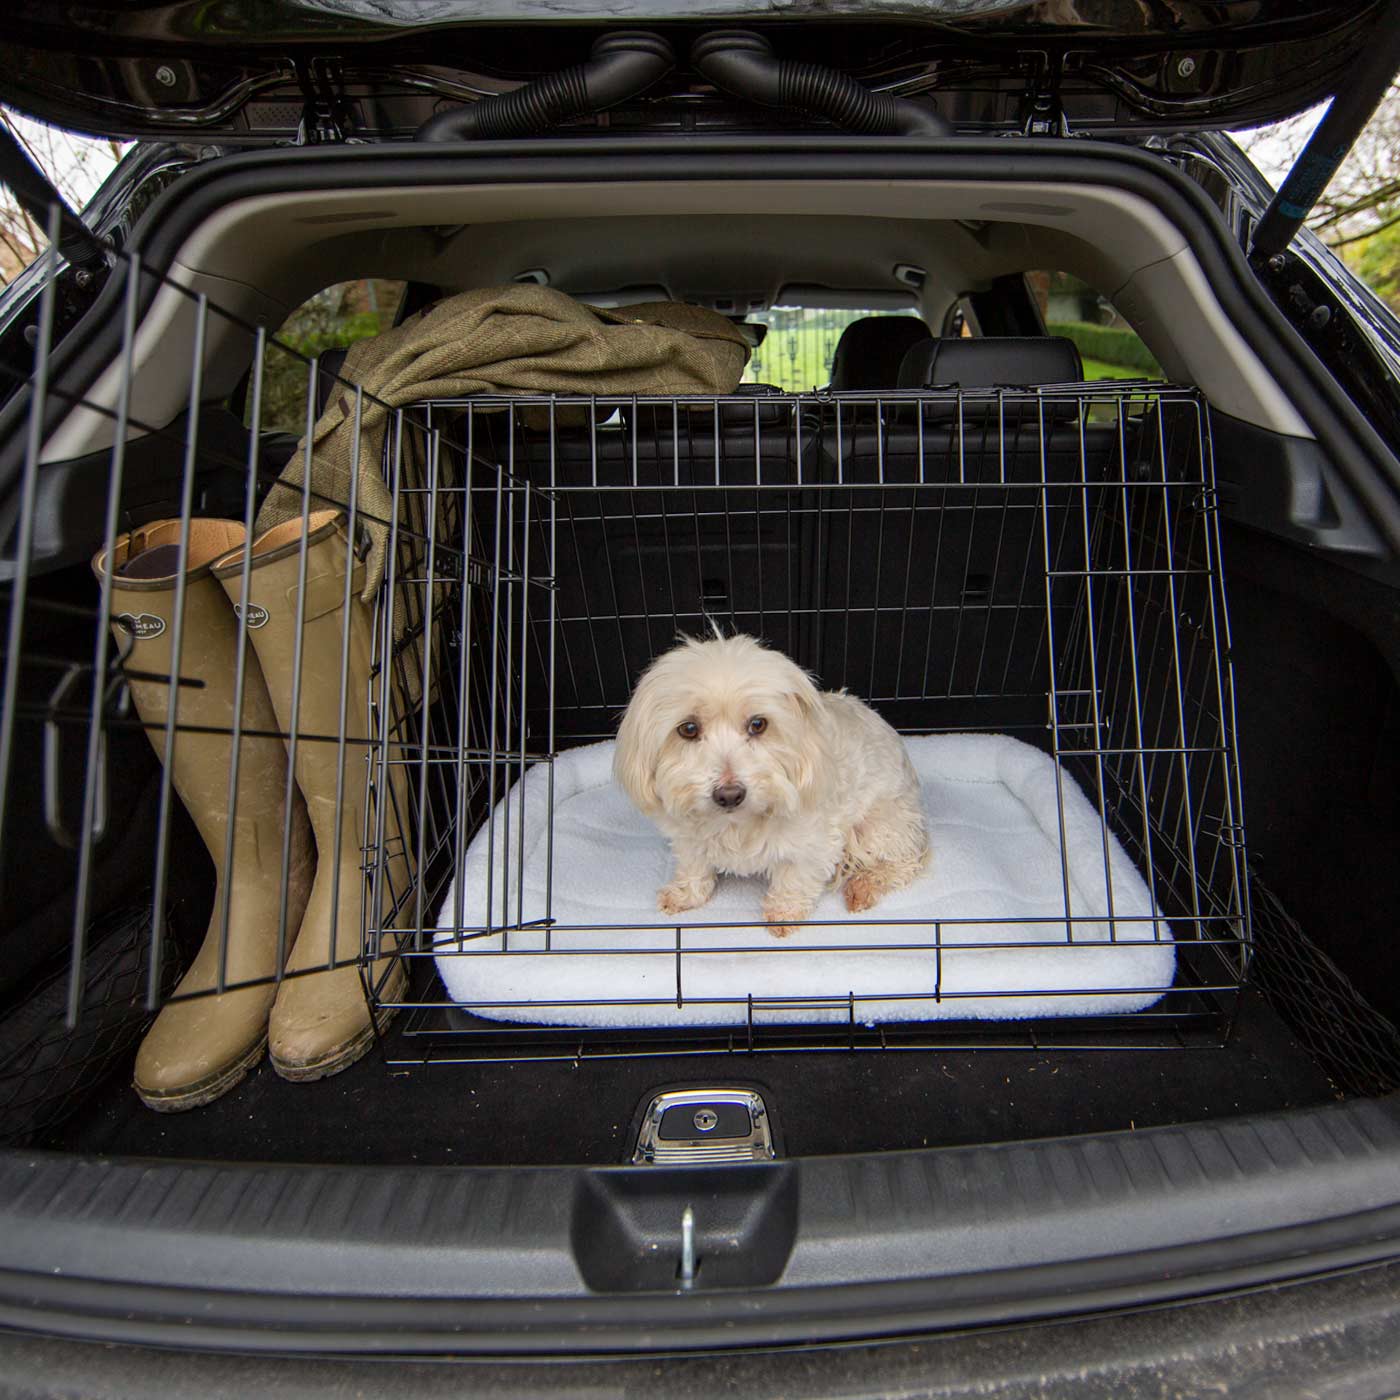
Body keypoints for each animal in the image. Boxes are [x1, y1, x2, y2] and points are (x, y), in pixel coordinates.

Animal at [616, 635, 929, 940]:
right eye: (688, 729)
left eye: (758, 724)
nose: (729, 795)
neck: (737, 825)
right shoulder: (689, 837)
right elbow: (694, 866)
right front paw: (684, 895)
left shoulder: (814, 844)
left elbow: (795, 877)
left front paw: (783, 912)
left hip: (880, 825)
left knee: (905, 862)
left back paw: (864, 885)